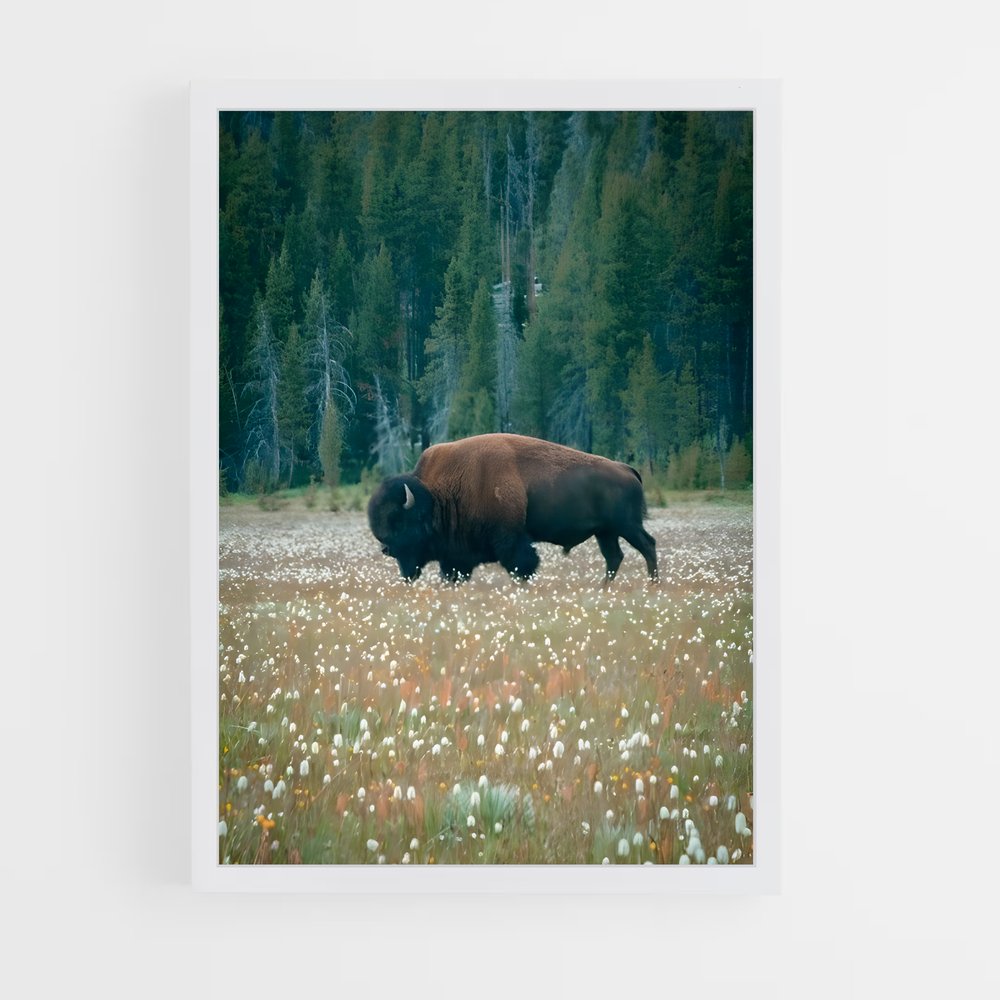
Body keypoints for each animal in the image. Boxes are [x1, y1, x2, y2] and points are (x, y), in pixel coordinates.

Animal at [367, 433, 658, 585]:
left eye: (402, 522)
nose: (386, 549)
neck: (437, 496)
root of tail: (626, 469)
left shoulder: (510, 539)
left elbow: (522, 565)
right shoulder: (455, 556)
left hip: (626, 526)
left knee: (647, 546)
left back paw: (652, 584)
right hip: (605, 532)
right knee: (614, 557)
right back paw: (603, 588)